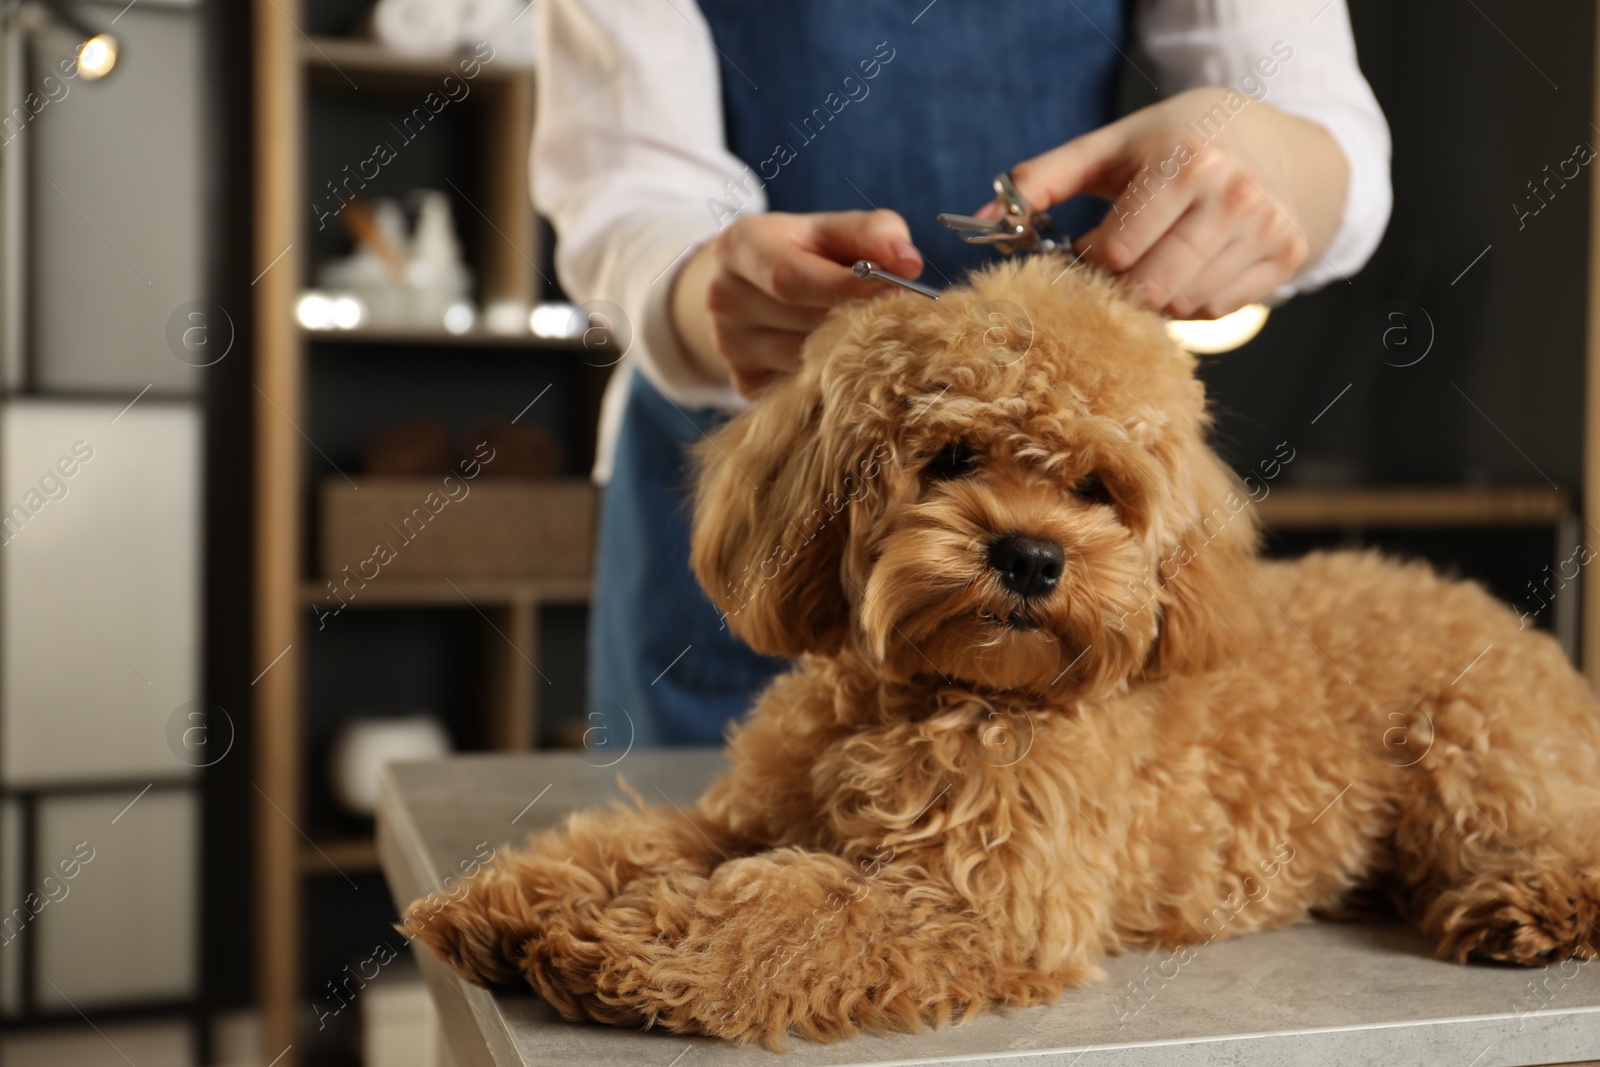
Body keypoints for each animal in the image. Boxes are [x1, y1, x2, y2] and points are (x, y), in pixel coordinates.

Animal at [409, 255, 1600, 1043]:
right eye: (949, 455)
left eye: (1097, 488)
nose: (1030, 556)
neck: (934, 694)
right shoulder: (746, 815)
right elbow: (635, 835)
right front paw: (515, 897)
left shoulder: (978, 901)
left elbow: (793, 912)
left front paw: (629, 946)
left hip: (1479, 761)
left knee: (1564, 844)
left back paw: (1525, 908)